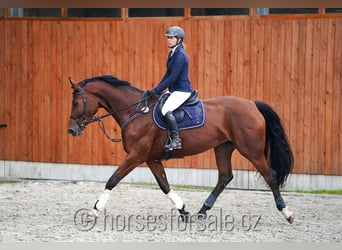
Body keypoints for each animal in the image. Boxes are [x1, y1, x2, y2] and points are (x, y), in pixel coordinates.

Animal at [68, 74, 296, 223]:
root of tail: (252, 104)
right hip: (222, 148)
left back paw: (287, 213)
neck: (136, 111)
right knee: (225, 177)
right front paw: (184, 212)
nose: (71, 130)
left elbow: (112, 180)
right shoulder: (152, 159)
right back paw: (202, 212)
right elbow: (164, 185)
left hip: (251, 151)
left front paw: (94, 210)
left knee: (270, 176)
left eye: (76, 103)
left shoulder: (136, 156)